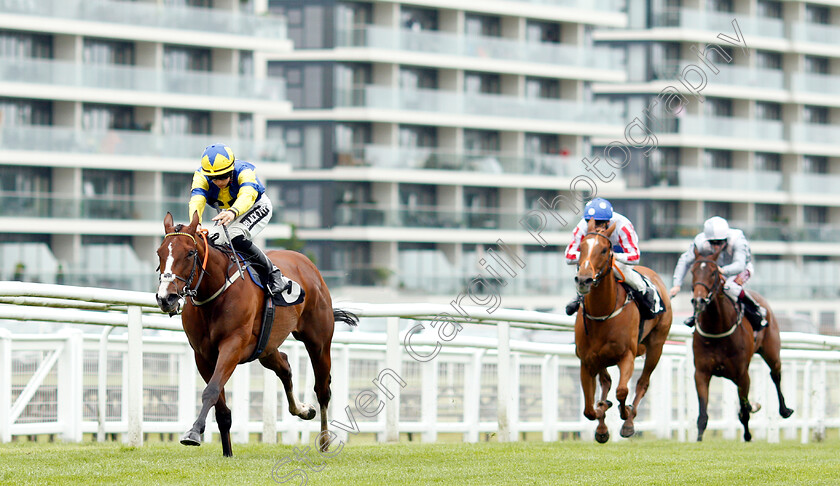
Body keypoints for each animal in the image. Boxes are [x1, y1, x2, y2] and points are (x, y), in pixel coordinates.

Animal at [154, 213, 358, 456]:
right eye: (159, 253)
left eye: (190, 253)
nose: (166, 298)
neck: (215, 293)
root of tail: (308, 264)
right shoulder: (203, 355)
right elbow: (221, 408)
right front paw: (227, 452)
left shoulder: (232, 346)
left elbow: (211, 390)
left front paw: (193, 433)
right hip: (266, 348)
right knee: (285, 367)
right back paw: (303, 409)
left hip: (318, 341)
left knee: (323, 389)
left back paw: (325, 441)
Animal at [576, 218, 672, 442]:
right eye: (581, 247)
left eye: (604, 250)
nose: (584, 279)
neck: (603, 313)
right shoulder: (586, 361)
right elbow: (589, 410)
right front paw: (602, 413)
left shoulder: (627, 354)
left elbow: (622, 391)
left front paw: (625, 413)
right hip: (601, 359)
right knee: (606, 381)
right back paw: (603, 424)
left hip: (656, 345)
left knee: (642, 383)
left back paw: (628, 421)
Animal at [684, 247, 792, 440]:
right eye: (693, 271)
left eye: (713, 272)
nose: (699, 300)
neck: (717, 328)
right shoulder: (702, 373)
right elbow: (703, 415)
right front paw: (698, 439)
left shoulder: (742, 373)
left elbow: (744, 411)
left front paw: (748, 435)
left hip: (771, 352)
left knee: (775, 374)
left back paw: (784, 410)